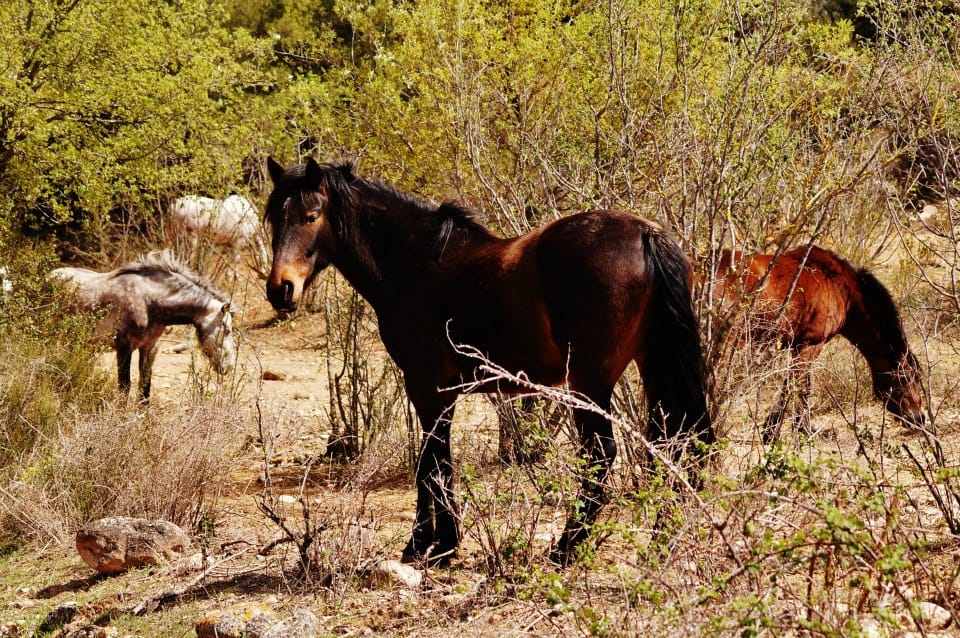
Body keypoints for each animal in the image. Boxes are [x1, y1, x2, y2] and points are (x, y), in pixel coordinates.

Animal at [50, 250, 237, 401]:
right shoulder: (124, 347)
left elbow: (145, 387)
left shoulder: (150, 346)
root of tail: (48, 276)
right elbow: (124, 385)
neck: (148, 300)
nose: (228, 367)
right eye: (227, 330)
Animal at [263, 157, 714, 566]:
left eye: (311, 215)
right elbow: (436, 462)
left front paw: (428, 546)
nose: (280, 289)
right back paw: (663, 538)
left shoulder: (426, 387)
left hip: (591, 381)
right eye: (272, 220)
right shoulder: (443, 391)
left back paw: (567, 548)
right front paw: (439, 542)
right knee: (673, 441)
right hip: (652, 364)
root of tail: (645, 234)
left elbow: (430, 464)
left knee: (601, 453)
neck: (416, 265)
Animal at [711, 245, 925, 443]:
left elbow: (796, 385)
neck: (840, 285)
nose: (919, 418)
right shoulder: (810, 345)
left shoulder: (798, 346)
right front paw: (791, 431)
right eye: (906, 377)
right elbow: (799, 387)